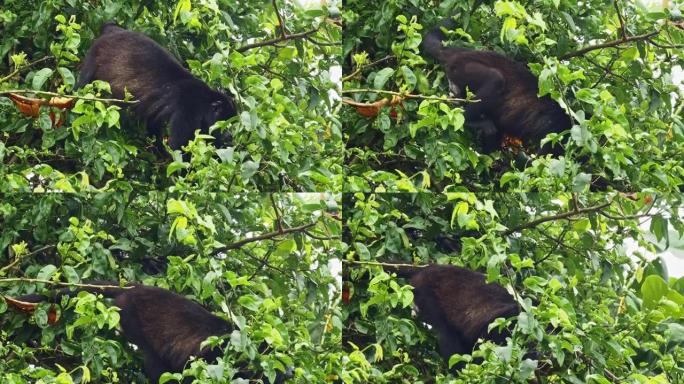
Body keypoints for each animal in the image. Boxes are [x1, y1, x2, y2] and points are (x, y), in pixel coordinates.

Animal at [77, 21, 236, 152]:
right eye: (224, 124)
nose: (229, 136)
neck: (205, 102)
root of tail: (113, 30)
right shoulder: (189, 108)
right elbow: (180, 145)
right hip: (95, 54)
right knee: (83, 83)